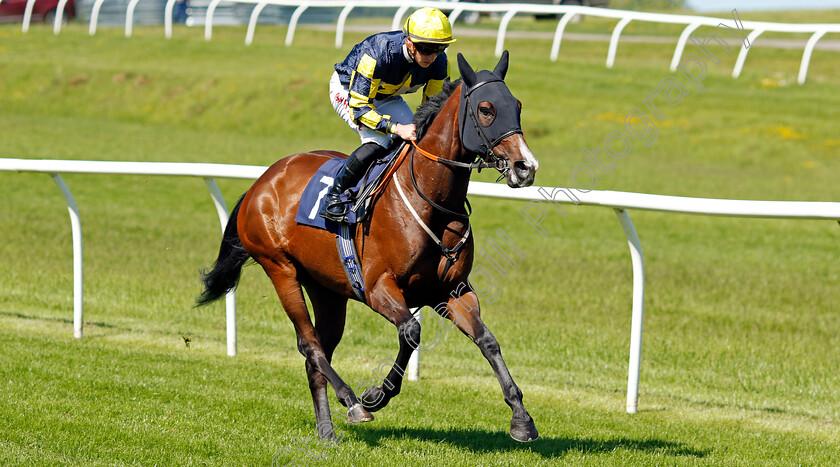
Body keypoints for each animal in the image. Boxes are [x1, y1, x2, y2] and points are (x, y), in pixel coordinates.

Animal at [195, 53, 540, 444]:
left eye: (517, 106)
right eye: (485, 109)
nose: (526, 166)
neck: (431, 203)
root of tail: (262, 182)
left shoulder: (452, 291)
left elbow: (487, 340)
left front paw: (521, 417)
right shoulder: (378, 288)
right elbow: (411, 333)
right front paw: (376, 395)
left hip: (327, 288)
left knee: (318, 353)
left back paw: (327, 430)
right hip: (280, 268)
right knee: (309, 344)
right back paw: (352, 403)